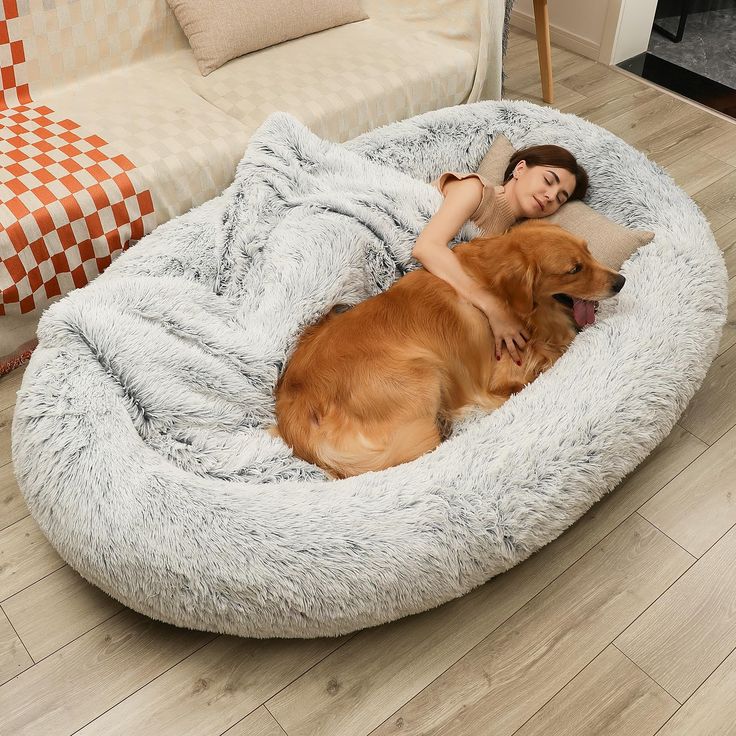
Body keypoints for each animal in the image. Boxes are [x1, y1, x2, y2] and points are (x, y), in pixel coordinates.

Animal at [276, 221, 628, 480]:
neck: (495, 287)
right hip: (423, 371)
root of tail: (294, 413)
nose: (621, 281)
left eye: (588, 250)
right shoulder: (500, 372)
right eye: (574, 269)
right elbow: (551, 355)